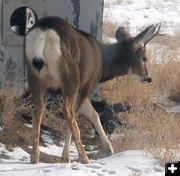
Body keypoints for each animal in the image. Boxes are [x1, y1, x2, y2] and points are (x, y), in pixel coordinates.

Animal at [25, 16, 162, 164]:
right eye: (144, 58)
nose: (148, 78)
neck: (102, 61)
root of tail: (44, 32)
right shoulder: (86, 86)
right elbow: (79, 117)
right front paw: (66, 156)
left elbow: (94, 114)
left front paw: (109, 148)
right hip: (70, 77)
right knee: (67, 111)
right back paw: (84, 158)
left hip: (34, 76)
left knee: (38, 109)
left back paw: (34, 157)